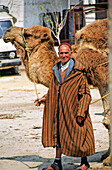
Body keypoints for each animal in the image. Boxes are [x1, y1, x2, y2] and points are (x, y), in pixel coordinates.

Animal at [2, 18, 109, 165]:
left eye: (29, 34)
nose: (7, 31)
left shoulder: (105, 79)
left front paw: (108, 160)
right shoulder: (101, 84)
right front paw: (106, 155)